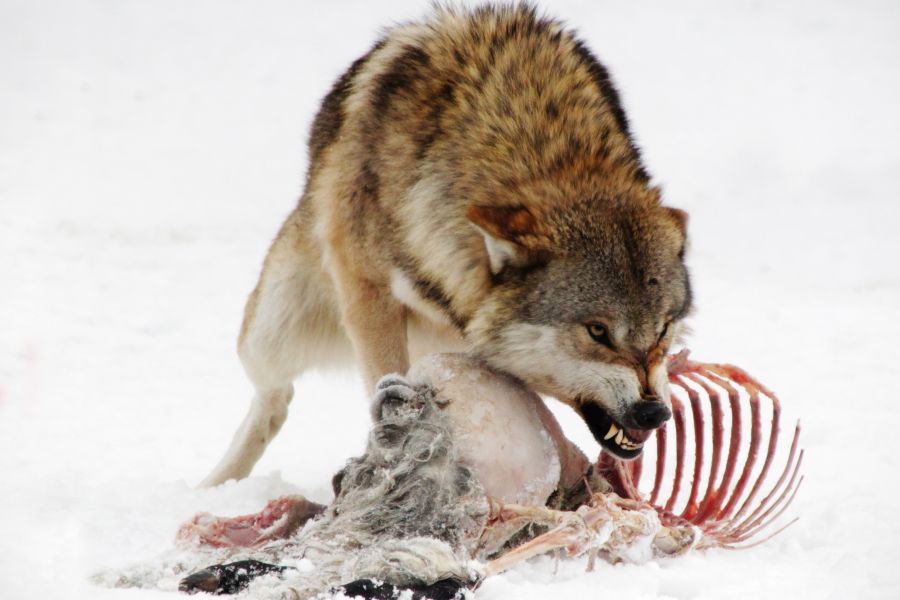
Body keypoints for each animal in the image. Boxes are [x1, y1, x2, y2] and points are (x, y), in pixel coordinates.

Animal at [200, 4, 692, 488]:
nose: (654, 413)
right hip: (272, 330)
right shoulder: (368, 296)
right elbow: (383, 379)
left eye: (663, 329)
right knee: (273, 398)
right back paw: (215, 487)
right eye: (597, 332)